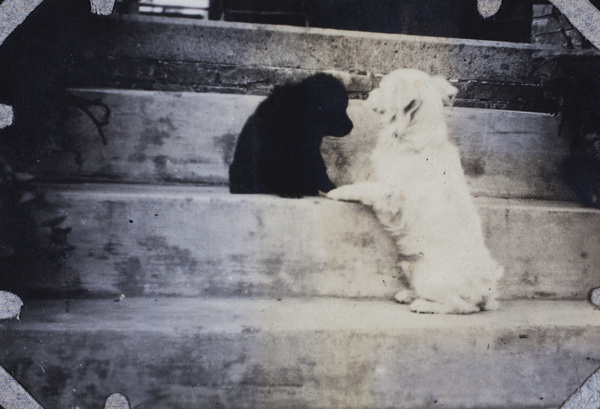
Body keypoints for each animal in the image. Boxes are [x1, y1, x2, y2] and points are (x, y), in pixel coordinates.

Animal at [328, 69, 502, 312]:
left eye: (382, 87)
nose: (368, 94)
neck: (413, 137)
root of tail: (486, 291)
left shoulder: (391, 193)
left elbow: (364, 186)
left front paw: (338, 191)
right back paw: (408, 295)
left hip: (431, 279)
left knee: (460, 306)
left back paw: (421, 304)